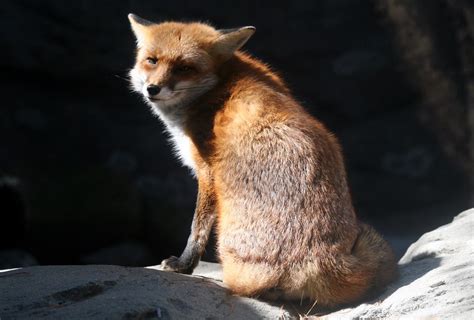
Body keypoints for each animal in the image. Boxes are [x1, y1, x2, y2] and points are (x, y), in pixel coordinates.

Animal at [128, 14, 398, 308]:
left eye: (185, 68)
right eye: (152, 60)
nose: (152, 89)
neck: (218, 85)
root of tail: (319, 263)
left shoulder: (207, 172)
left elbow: (196, 229)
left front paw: (183, 265)